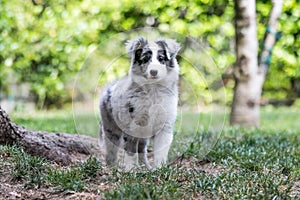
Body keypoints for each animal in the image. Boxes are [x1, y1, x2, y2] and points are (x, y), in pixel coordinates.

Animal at [99, 36, 180, 170]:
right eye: (145, 59)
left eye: (161, 59)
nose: (153, 72)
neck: (153, 90)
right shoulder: (132, 125)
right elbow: (131, 150)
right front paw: (131, 170)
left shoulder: (165, 126)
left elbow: (160, 151)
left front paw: (159, 169)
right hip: (110, 127)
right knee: (111, 149)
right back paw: (112, 167)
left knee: (142, 149)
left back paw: (145, 167)